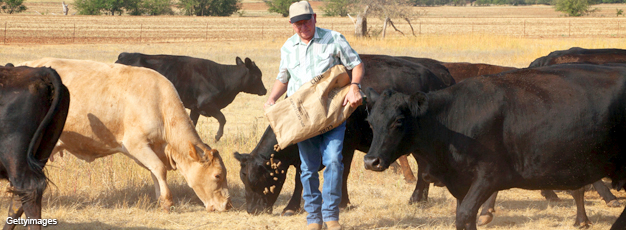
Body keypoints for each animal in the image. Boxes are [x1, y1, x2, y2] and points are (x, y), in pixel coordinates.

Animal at [18, 58, 232, 213]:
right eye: (217, 175)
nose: (228, 205)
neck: (160, 105)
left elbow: (155, 171)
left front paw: (160, 199)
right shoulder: (136, 144)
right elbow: (159, 168)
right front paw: (167, 201)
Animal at [114, 52, 266, 141]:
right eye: (258, 75)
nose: (265, 90)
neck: (221, 77)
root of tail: (124, 55)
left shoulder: (195, 108)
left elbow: (192, 123)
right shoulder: (207, 103)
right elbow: (222, 118)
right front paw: (217, 136)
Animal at [232, 54, 450, 216]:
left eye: (258, 180)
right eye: (244, 180)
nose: (251, 210)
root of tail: (440, 74)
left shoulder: (346, 145)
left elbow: (340, 174)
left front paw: (337, 203)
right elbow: (303, 176)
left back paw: (416, 197)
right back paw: (420, 198)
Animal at [364, 63, 626, 230]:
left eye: (398, 121)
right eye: (370, 121)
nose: (371, 161)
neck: (455, 119)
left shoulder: (488, 176)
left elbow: (464, 215)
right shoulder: (462, 183)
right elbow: (463, 217)